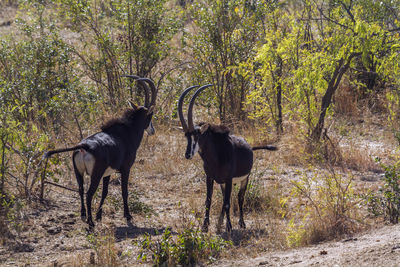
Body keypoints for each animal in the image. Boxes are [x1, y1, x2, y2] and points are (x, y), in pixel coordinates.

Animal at [43, 75, 156, 228]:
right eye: (150, 116)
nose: (152, 131)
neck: (126, 132)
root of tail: (84, 146)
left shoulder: (107, 173)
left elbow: (105, 192)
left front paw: (99, 215)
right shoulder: (125, 169)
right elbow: (124, 192)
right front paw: (127, 215)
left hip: (78, 172)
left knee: (81, 190)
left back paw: (84, 215)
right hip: (95, 174)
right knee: (89, 194)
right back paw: (90, 223)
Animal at [179, 85, 278, 233]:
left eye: (197, 135)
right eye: (186, 136)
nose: (187, 154)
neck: (215, 157)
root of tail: (250, 146)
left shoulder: (229, 179)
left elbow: (227, 203)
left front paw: (229, 227)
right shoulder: (210, 178)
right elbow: (208, 200)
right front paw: (205, 226)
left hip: (244, 179)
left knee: (239, 198)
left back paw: (241, 223)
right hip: (223, 183)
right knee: (227, 198)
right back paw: (220, 223)